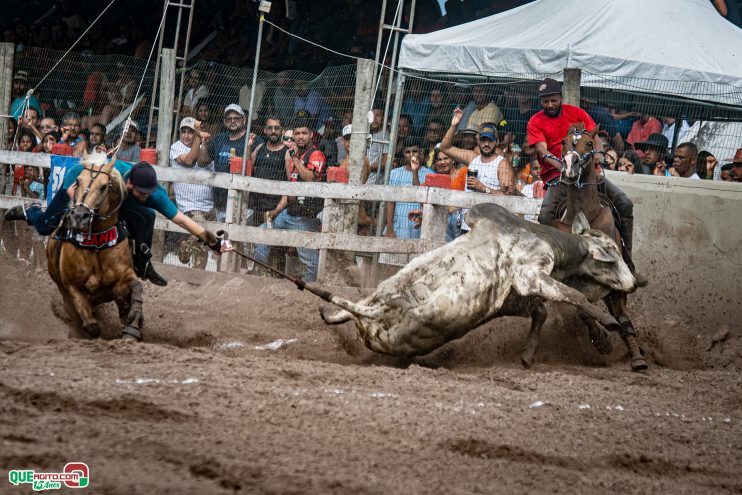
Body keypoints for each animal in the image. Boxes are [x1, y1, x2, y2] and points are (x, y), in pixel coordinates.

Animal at [47, 153, 145, 342]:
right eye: (78, 181)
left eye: (104, 186)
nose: (79, 216)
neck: (97, 245)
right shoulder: (72, 287)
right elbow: (91, 326)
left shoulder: (124, 277)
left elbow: (137, 288)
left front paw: (133, 327)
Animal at [316, 202, 636, 368]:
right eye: (611, 257)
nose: (634, 282)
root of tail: (372, 314)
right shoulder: (529, 274)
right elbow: (572, 295)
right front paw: (609, 323)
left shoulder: (513, 297)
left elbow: (542, 312)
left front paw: (527, 355)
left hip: (381, 309)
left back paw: (332, 315)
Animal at [552, 125, 652, 372]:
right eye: (563, 142)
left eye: (589, 144)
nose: (570, 164)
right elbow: (582, 309)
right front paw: (602, 340)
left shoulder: (617, 285)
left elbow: (623, 319)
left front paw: (636, 356)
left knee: (623, 317)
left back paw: (637, 352)